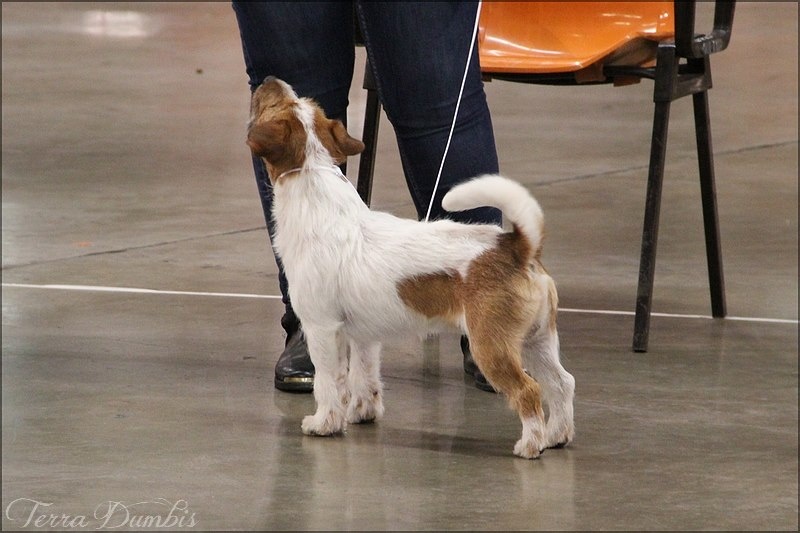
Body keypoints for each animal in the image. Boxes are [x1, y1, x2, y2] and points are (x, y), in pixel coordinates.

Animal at [246, 77, 574, 459]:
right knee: (561, 383)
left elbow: (329, 382)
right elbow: (364, 376)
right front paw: (363, 412)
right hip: (538, 340)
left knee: (529, 390)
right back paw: (557, 436)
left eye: (272, 106)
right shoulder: (363, 336)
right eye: (300, 100)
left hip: (492, 345)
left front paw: (325, 422)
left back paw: (531, 443)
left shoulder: (322, 329)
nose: (270, 80)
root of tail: (516, 247)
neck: (316, 190)